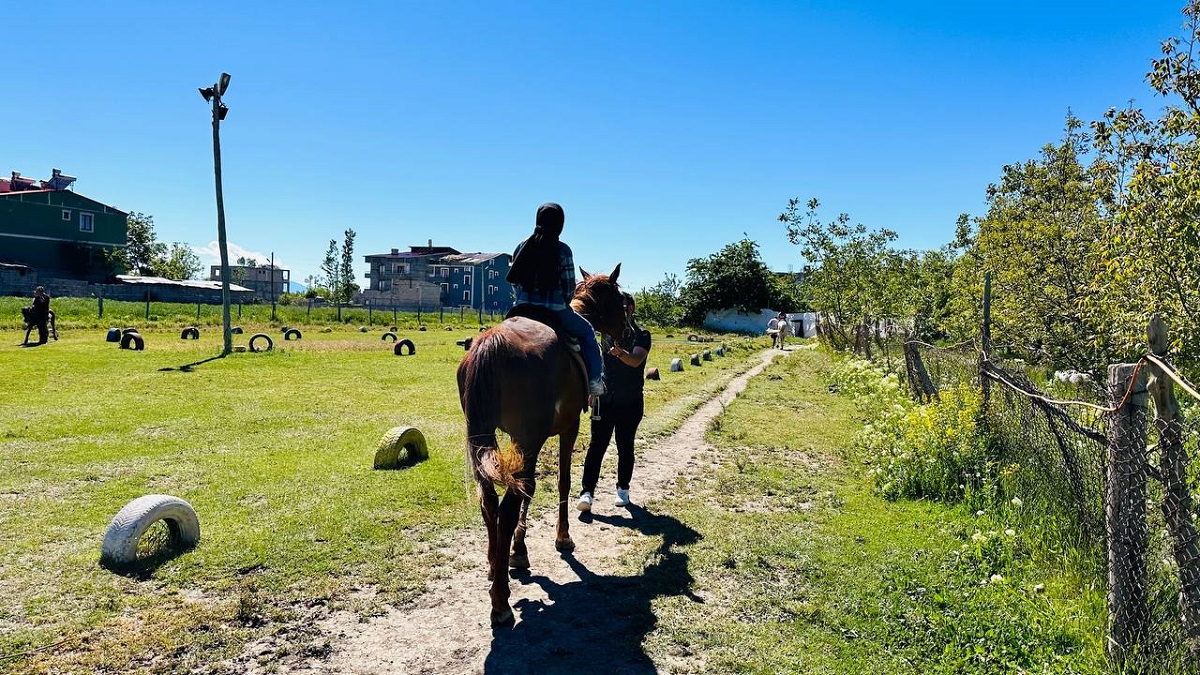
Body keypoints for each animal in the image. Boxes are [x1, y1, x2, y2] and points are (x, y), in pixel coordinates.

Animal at [456, 260, 628, 624]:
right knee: (506, 507)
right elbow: (562, 481)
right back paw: (500, 602)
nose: (628, 332)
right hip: (528, 437)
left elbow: (529, 487)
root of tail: (491, 343)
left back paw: (494, 567)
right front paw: (562, 537)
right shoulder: (568, 428)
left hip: (483, 438)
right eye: (621, 301)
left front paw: (515, 552)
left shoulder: (517, 441)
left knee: (489, 501)